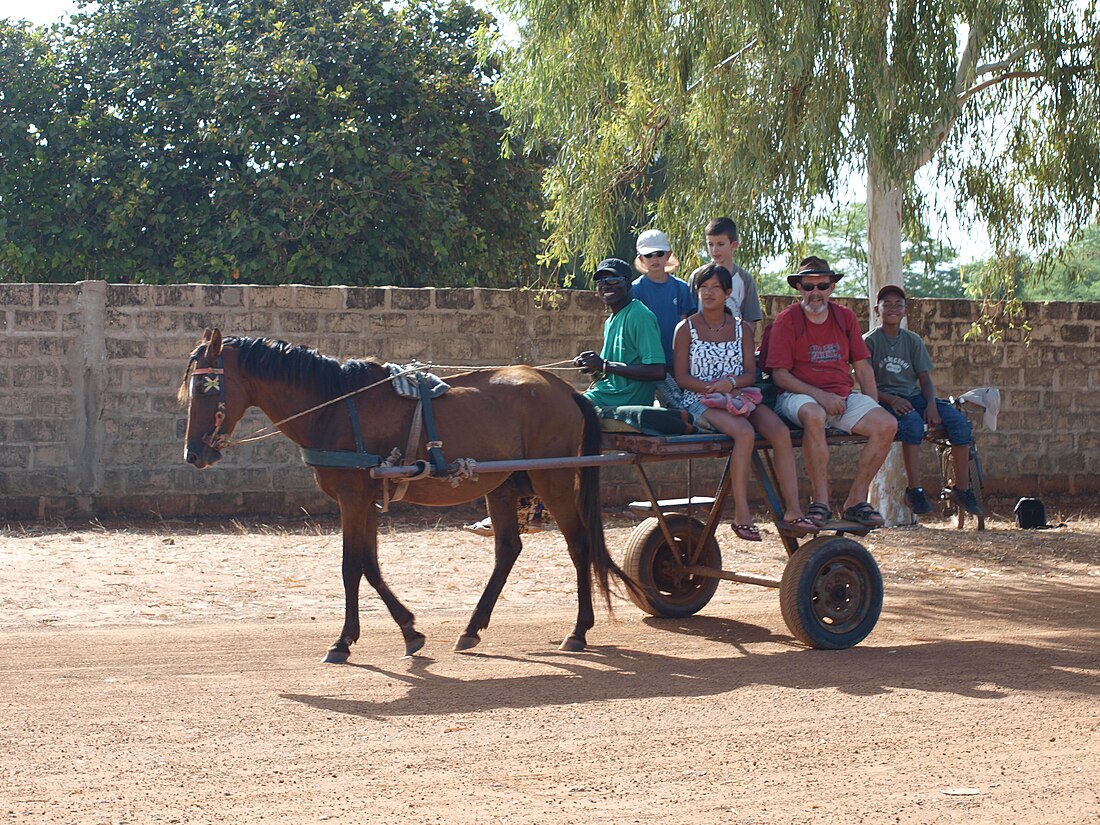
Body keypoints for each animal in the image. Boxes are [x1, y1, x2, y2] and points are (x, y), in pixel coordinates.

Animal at [176, 330, 633, 664]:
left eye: (207, 389)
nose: (193, 454)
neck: (334, 406)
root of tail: (564, 389)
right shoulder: (364, 501)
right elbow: (369, 566)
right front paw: (409, 631)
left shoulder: (352, 498)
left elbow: (351, 567)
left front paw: (343, 642)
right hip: (502, 485)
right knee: (508, 549)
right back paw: (471, 628)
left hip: (553, 480)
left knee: (579, 545)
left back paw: (578, 631)